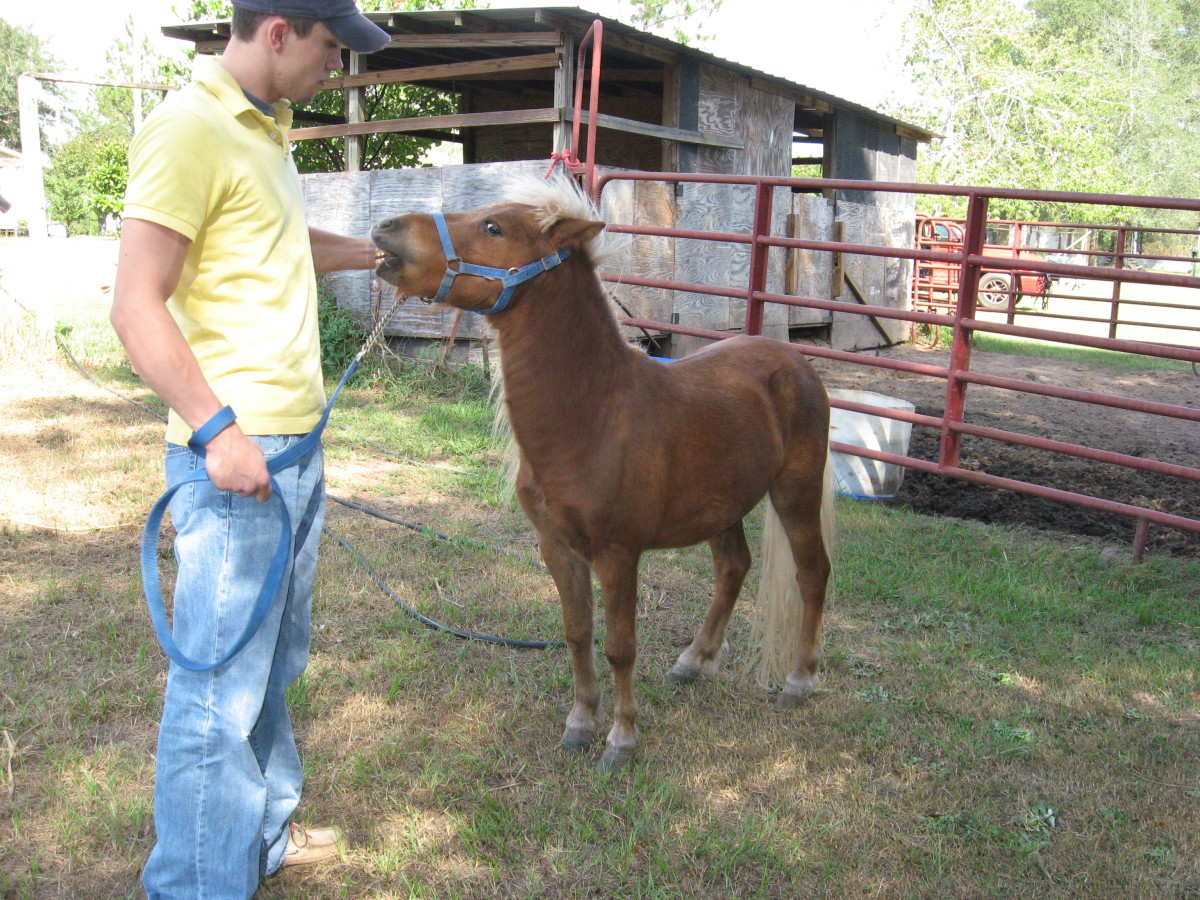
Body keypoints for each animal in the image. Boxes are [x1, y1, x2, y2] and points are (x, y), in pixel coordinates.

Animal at [371, 176, 834, 771]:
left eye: (493, 228)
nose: (386, 228)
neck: (592, 417)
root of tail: (795, 361)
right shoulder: (557, 549)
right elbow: (576, 635)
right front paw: (580, 722)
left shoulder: (618, 555)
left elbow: (619, 647)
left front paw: (621, 738)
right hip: (723, 505)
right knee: (734, 567)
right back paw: (694, 660)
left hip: (796, 491)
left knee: (812, 573)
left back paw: (799, 680)